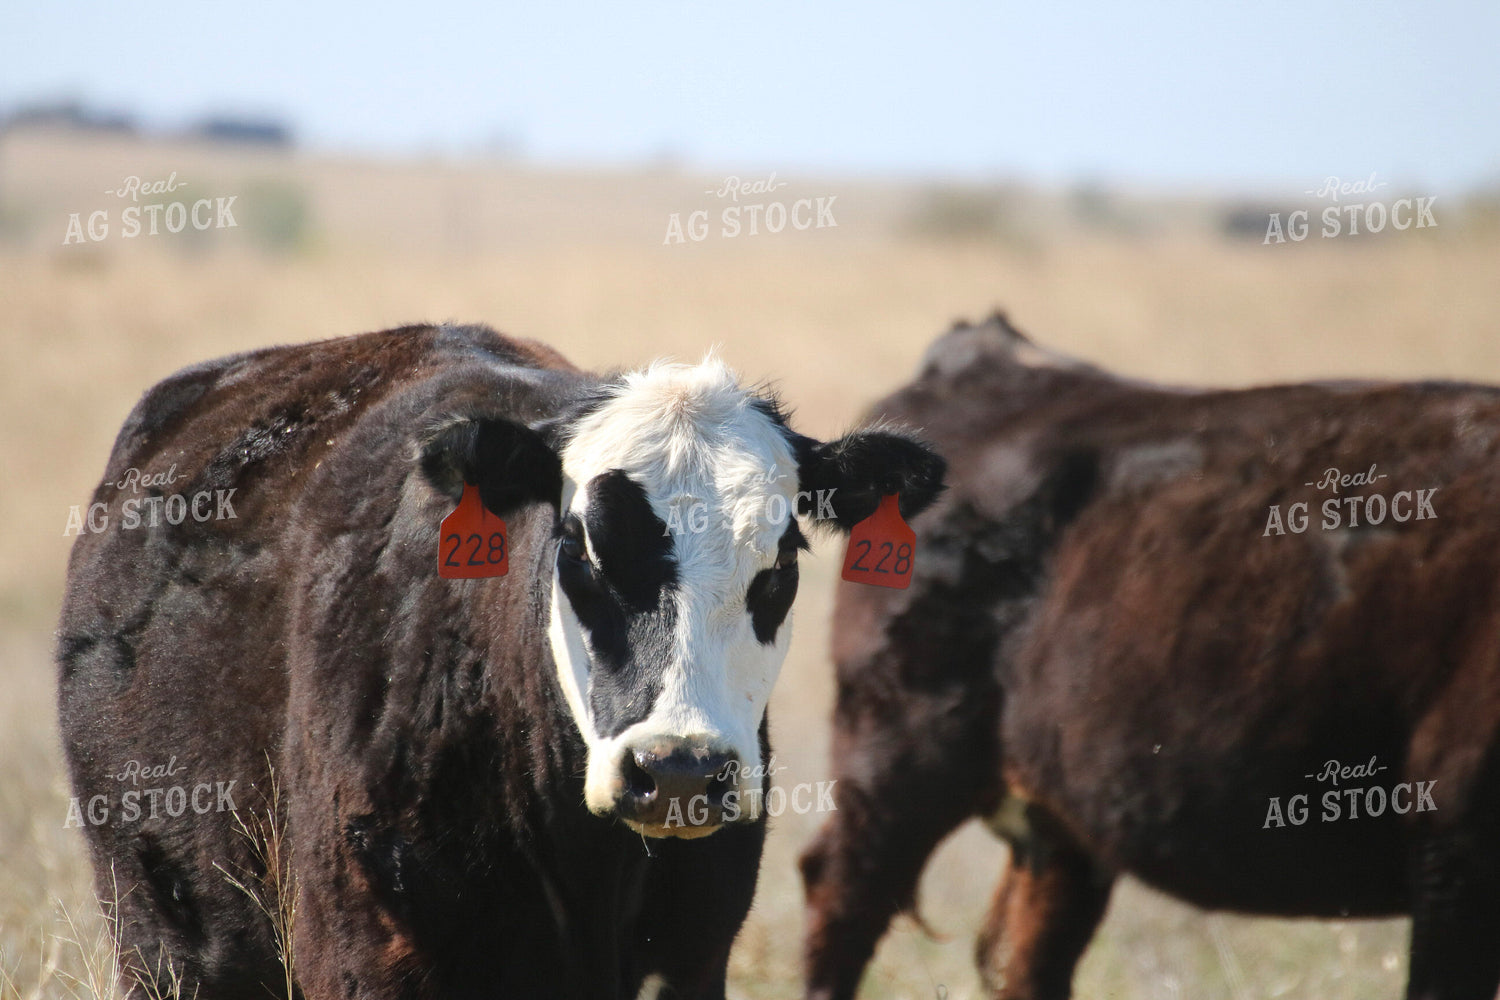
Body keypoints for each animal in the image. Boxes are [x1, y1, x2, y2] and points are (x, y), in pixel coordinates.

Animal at [56, 322, 945, 1000]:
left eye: (783, 557)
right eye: (578, 546)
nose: (679, 770)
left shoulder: (694, 953)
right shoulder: (365, 952)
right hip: (160, 939)